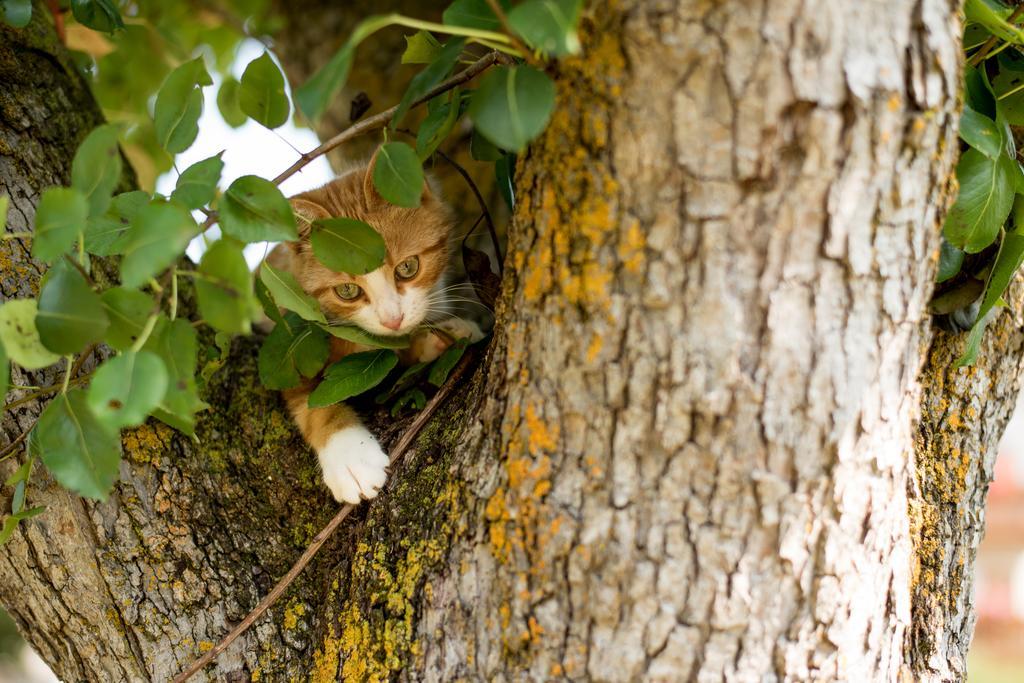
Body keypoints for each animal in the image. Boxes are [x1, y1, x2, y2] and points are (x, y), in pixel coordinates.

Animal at [268, 152, 483, 505]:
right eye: (347, 291)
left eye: (408, 267)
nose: (391, 319)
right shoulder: (290, 345)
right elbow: (315, 404)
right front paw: (350, 458)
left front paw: (443, 334)